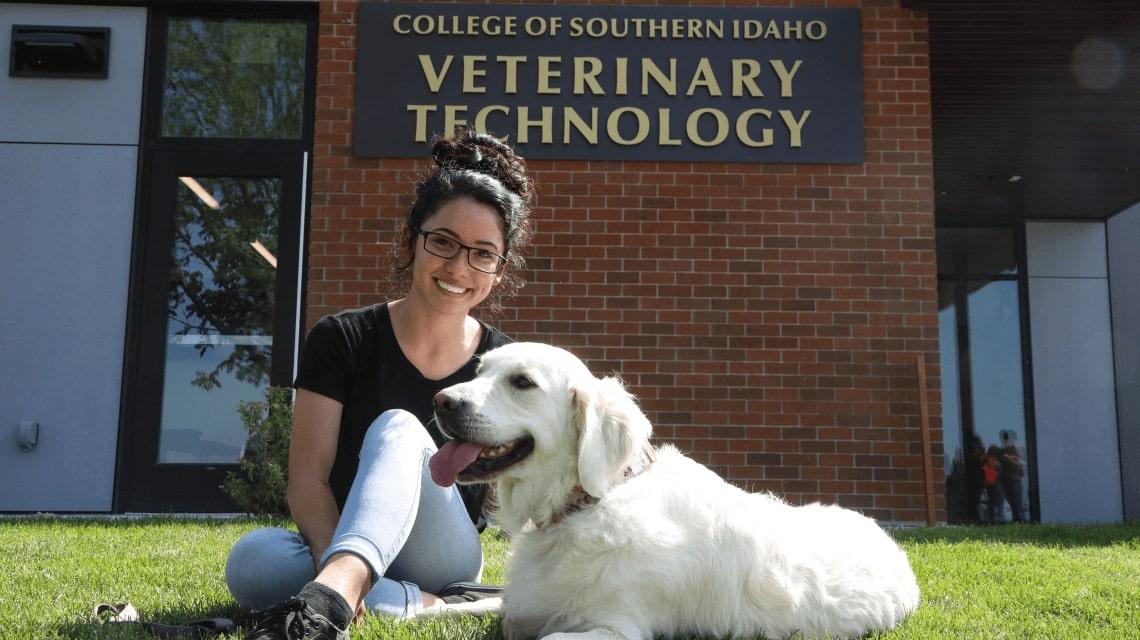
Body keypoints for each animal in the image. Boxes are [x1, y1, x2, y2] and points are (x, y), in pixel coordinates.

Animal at [428, 342, 916, 638]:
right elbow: (476, 604)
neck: (591, 501)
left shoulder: (617, 628)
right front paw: (425, 607)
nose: (441, 401)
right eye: (480, 370)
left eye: (522, 382)